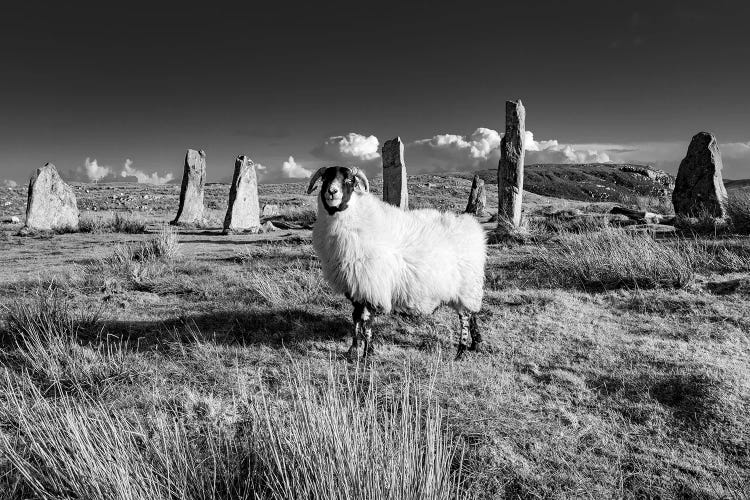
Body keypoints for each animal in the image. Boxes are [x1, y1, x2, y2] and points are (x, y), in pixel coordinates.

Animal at [306, 167, 488, 360]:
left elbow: (366, 321)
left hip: (467, 286)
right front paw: (354, 350)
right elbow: (355, 318)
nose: (332, 192)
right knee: (473, 314)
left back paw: (461, 351)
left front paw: (367, 353)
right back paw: (476, 344)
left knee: (465, 317)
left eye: (349, 180)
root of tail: (472, 228)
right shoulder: (356, 287)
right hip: (465, 290)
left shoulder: (371, 286)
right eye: (325, 178)